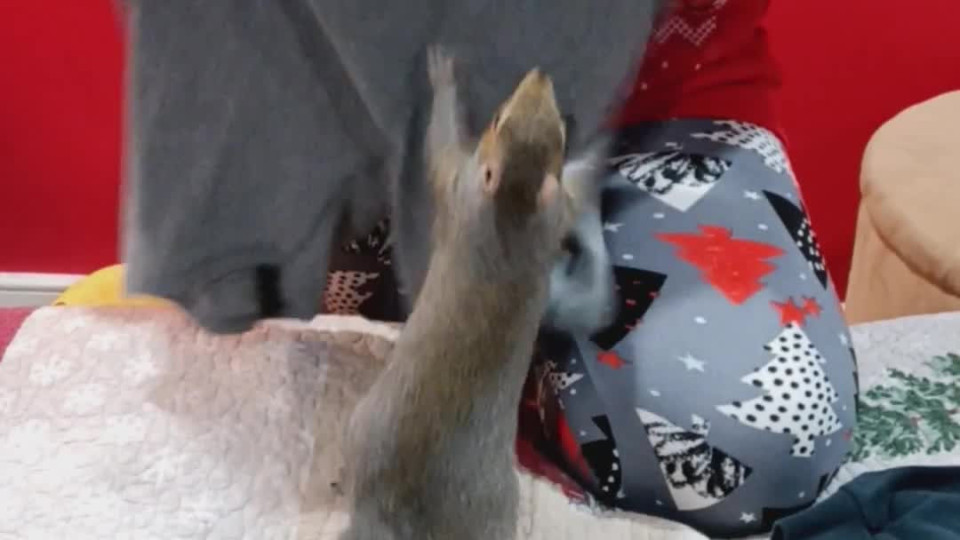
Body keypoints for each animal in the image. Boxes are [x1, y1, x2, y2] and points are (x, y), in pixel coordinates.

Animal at [339, 47, 574, 540]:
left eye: (496, 119)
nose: (541, 74)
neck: (514, 209)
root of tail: (392, 513)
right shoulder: (552, 216)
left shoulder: (456, 184)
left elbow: (440, 146)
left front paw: (442, 75)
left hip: (359, 425)